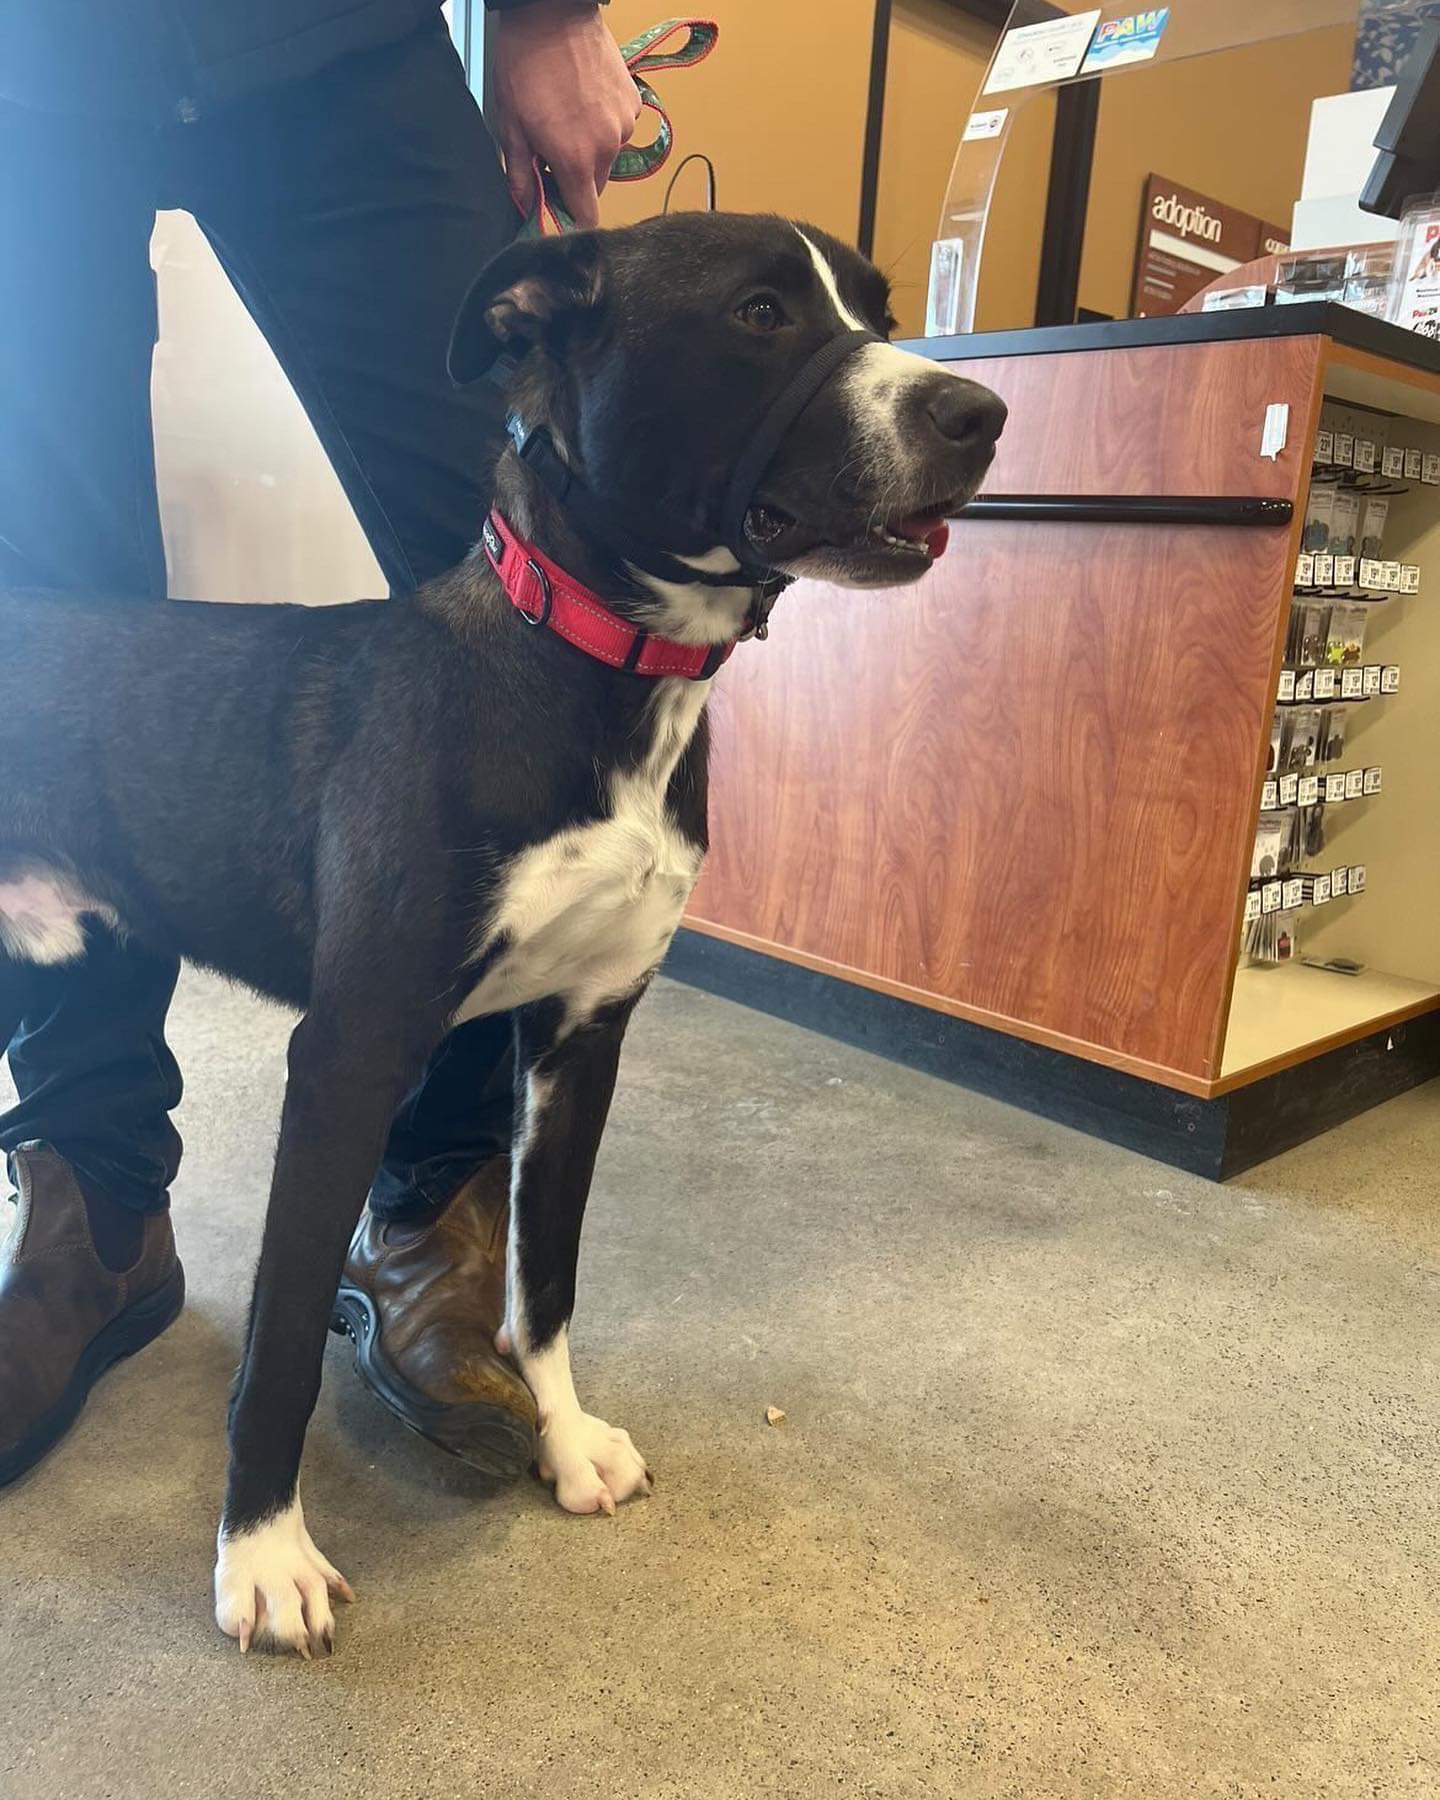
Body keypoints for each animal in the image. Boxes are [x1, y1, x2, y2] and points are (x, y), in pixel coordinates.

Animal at [0, 207, 1008, 1648]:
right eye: (758, 313)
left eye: (878, 309)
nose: (982, 412)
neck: (593, 672)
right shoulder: (351, 1053)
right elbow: (282, 1340)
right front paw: (262, 1554)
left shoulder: (584, 1036)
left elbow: (548, 1284)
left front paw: (565, 1441)